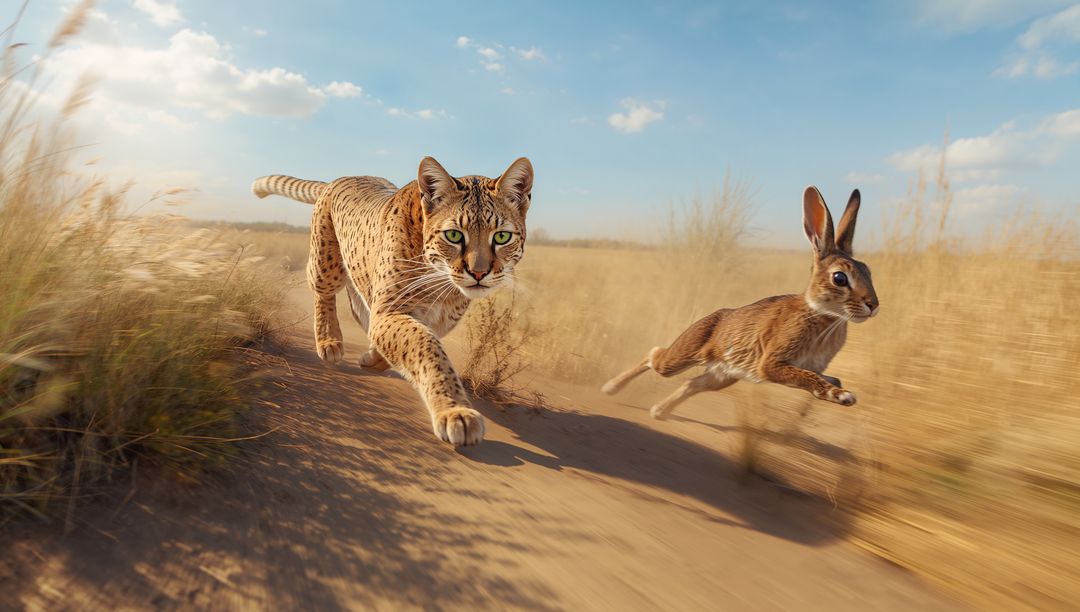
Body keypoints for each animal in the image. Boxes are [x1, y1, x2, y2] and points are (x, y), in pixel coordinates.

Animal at [601, 186, 879, 420]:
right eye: (839, 278)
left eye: (868, 272)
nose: (873, 305)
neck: (820, 314)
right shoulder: (771, 364)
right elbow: (808, 378)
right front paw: (842, 396)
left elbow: (827, 377)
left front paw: (838, 388)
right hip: (681, 358)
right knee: (654, 356)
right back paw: (610, 388)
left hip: (722, 376)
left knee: (691, 383)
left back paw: (659, 411)